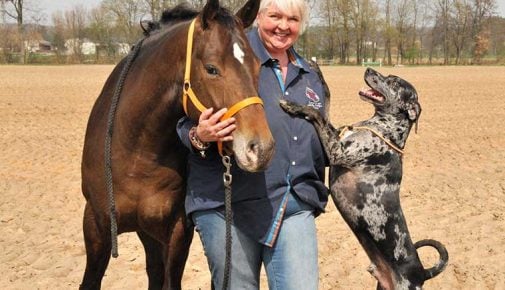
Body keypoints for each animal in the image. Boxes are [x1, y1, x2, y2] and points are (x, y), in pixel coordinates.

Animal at [80, 1, 274, 288]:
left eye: (257, 65)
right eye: (211, 68)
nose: (260, 149)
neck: (136, 153)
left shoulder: (177, 231)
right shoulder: (95, 227)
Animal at [280, 67, 448, 288]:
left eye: (394, 83)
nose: (369, 68)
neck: (386, 130)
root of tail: (422, 273)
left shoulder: (336, 151)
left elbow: (318, 114)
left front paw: (293, 106)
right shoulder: (335, 140)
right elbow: (327, 101)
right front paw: (316, 68)